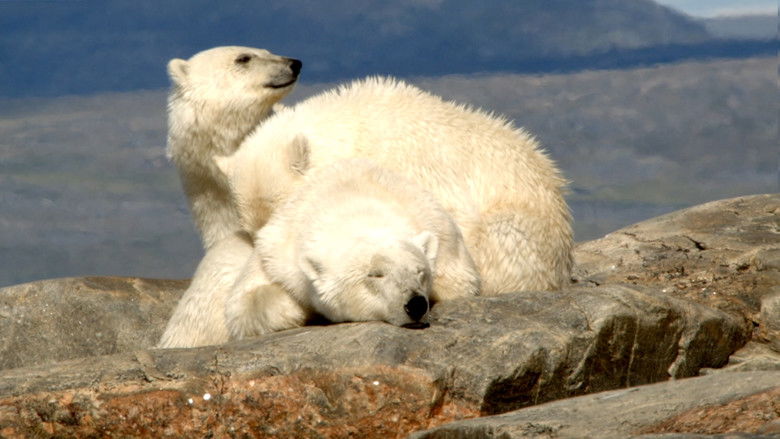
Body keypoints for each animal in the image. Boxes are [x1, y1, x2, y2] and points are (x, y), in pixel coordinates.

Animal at [218, 148, 481, 339]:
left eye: (420, 271)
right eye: (375, 275)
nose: (415, 304)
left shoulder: (443, 234)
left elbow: (459, 284)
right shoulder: (274, 251)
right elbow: (243, 304)